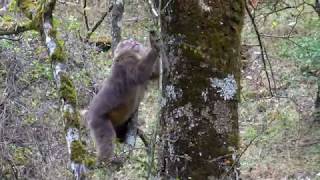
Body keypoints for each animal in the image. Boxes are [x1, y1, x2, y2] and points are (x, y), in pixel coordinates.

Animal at [86, 31, 160, 162]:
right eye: (127, 42)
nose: (133, 41)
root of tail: (88, 116)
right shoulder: (127, 65)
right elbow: (139, 73)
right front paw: (153, 45)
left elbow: (155, 73)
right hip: (100, 122)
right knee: (107, 141)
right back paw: (105, 161)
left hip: (119, 124)